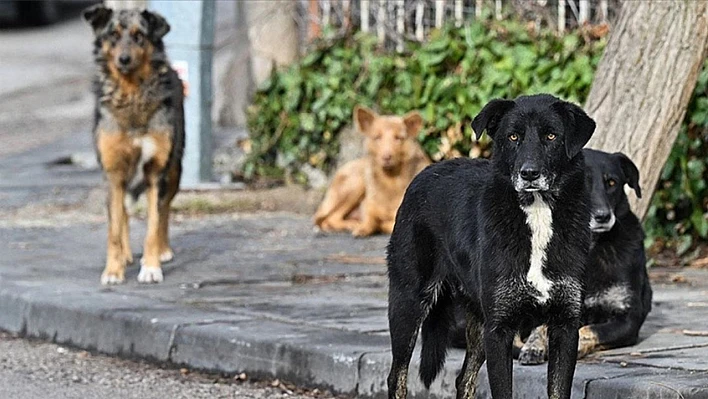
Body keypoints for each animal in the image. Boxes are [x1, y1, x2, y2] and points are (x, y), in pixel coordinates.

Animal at [83, 4, 185, 286]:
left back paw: (163, 250)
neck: (131, 94)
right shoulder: (113, 171)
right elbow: (114, 228)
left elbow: (153, 224)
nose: (124, 59)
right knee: (124, 213)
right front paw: (113, 270)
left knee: (164, 209)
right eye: (113, 35)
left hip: (175, 170)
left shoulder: (156, 170)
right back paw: (126, 256)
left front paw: (150, 267)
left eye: (140, 36)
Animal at [316, 106, 432, 238]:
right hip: (355, 183)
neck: (390, 181)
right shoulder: (369, 206)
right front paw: (364, 227)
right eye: (377, 137)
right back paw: (351, 225)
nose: (386, 157)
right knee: (328, 219)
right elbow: (370, 219)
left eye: (398, 138)